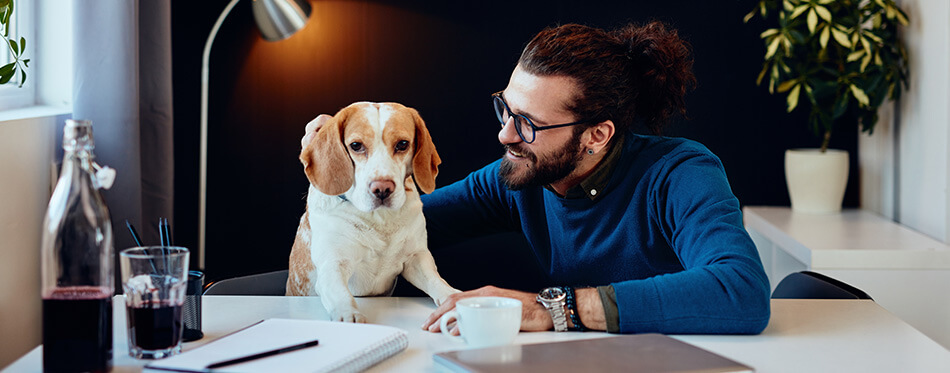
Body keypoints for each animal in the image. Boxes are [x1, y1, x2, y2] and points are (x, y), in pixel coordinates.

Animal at [286, 100, 462, 322]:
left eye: (402, 144)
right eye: (356, 146)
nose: (382, 189)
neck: (379, 220)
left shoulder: (417, 258)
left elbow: (437, 282)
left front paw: (455, 298)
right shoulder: (333, 265)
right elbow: (341, 295)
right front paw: (349, 314)